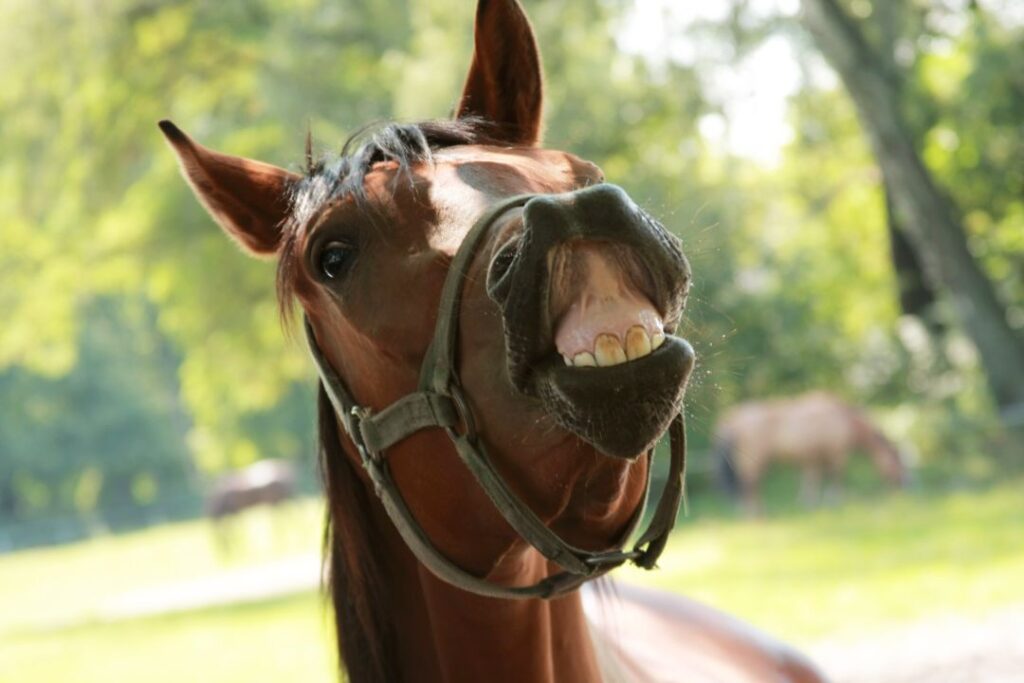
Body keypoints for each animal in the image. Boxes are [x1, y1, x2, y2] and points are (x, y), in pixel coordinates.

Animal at [714, 391, 908, 515]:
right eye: (897, 465)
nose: (899, 490)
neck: (843, 418)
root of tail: (733, 419)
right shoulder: (836, 454)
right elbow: (835, 477)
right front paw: (834, 502)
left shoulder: (811, 458)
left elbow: (811, 479)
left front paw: (808, 503)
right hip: (754, 461)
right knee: (749, 485)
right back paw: (755, 513)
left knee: (746, 486)